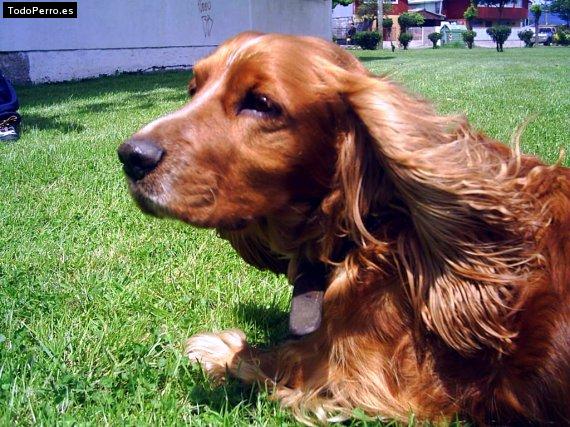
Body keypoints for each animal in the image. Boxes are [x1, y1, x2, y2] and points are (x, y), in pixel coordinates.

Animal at [118, 32, 569, 425]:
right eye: (193, 89)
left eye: (261, 103)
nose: (130, 155)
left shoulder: (373, 381)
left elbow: (277, 357)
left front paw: (217, 347)